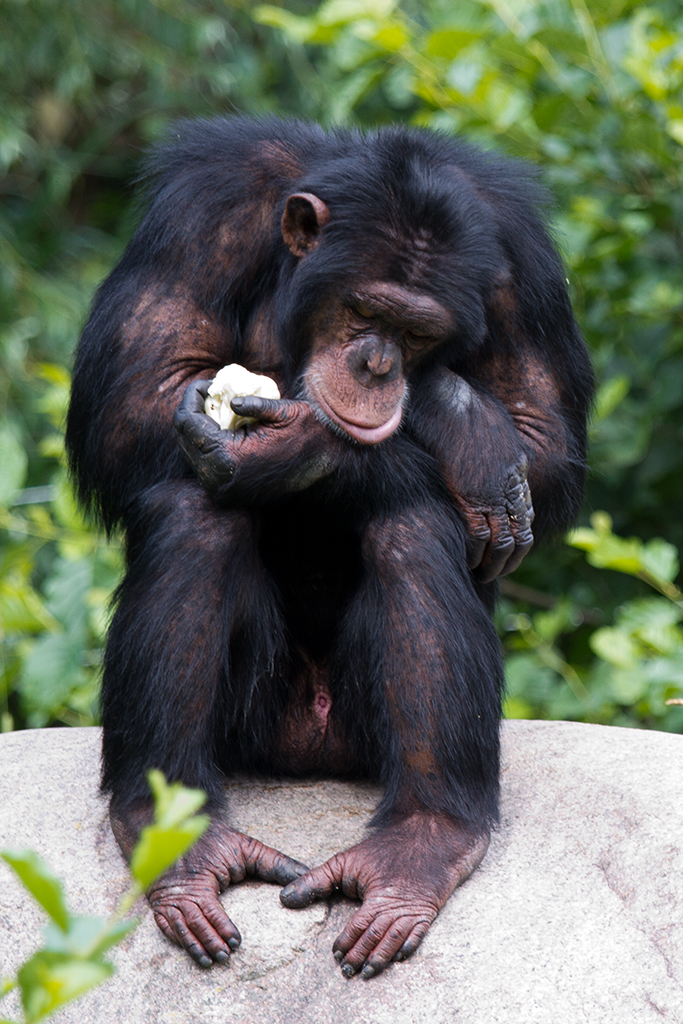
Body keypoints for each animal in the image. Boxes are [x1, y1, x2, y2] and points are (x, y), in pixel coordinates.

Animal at [66, 116, 593, 978]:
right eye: (359, 309)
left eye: (418, 331)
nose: (376, 365)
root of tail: (304, 748)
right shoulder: (199, 214)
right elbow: (138, 399)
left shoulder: (526, 261)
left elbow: (541, 437)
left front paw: (443, 418)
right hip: (251, 723)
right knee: (195, 507)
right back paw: (176, 839)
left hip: (354, 732)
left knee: (413, 523)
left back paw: (423, 843)